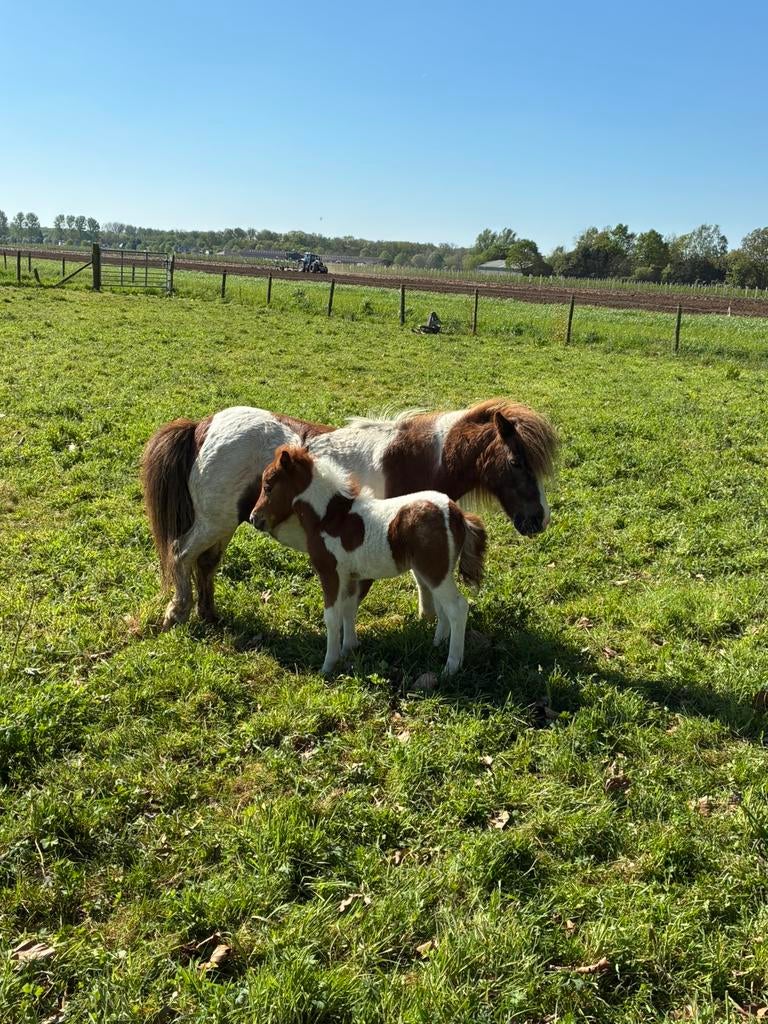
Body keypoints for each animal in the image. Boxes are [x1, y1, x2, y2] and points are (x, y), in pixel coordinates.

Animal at [141, 399, 557, 629]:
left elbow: (421, 584)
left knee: (206, 563)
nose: (538, 520)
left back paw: (209, 615)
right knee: (180, 554)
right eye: (517, 462)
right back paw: (177, 612)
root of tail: (203, 426)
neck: (421, 459)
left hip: (223, 524)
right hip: (213, 522)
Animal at [250, 445, 487, 675]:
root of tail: (457, 514)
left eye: (268, 486)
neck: (330, 519)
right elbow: (348, 609)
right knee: (442, 607)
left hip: (434, 570)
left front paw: (328, 665)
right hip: (438, 570)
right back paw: (438, 643)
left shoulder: (330, 573)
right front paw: (349, 648)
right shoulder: (351, 576)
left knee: (457, 608)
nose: (254, 518)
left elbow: (332, 617)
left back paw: (451, 667)